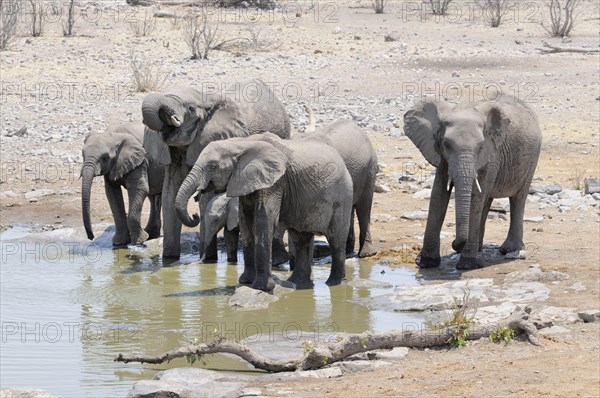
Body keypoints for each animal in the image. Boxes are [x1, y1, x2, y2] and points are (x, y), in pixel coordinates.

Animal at [141, 80, 290, 262]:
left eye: (190, 109)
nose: (194, 217)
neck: (204, 98)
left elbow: (205, 199)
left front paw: (208, 260)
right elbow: (169, 195)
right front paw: (169, 260)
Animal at [173, 132, 354, 290]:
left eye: (212, 166)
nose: (195, 215)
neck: (241, 143)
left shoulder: (274, 181)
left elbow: (264, 218)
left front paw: (262, 287)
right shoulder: (245, 182)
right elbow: (246, 221)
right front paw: (245, 282)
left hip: (342, 197)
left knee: (336, 240)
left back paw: (334, 284)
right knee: (301, 239)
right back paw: (298, 283)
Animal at [406, 97, 540, 270]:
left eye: (480, 147)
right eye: (446, 144)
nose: (455, 244)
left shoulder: (492, 153)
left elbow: (476, 197)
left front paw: (468, 265)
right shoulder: (440, 155)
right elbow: (438, 195)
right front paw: (427, 263)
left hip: (532, 158)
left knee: (517, 198)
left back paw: (509, 249)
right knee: (488, 200)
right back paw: (479, 248)